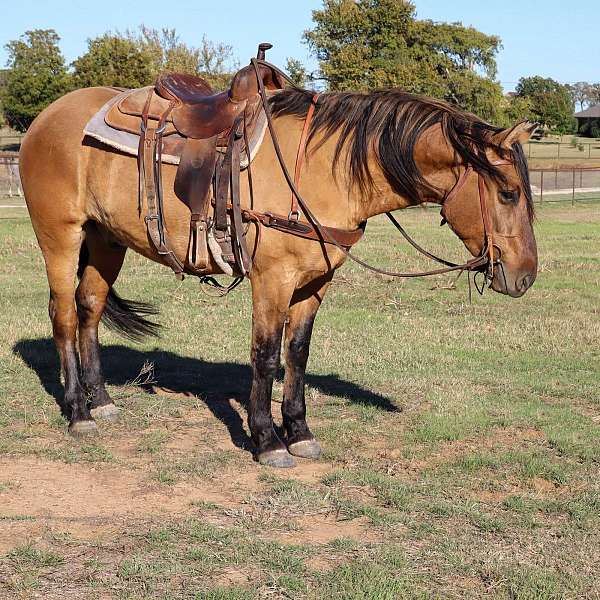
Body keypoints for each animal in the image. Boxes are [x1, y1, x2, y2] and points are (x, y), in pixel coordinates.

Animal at [19, 47, 540, 468]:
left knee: (89, 309)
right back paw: (79, 412)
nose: (525, 277)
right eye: (509, 193)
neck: (322, 169)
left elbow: (297, 353)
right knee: (64, 315)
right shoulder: (273, 279)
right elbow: (266, 354)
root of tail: (46, 117)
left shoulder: (314, 282)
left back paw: (103, 401)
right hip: (60, 236)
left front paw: (300, 432)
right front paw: (267, 440)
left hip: (106, 240)